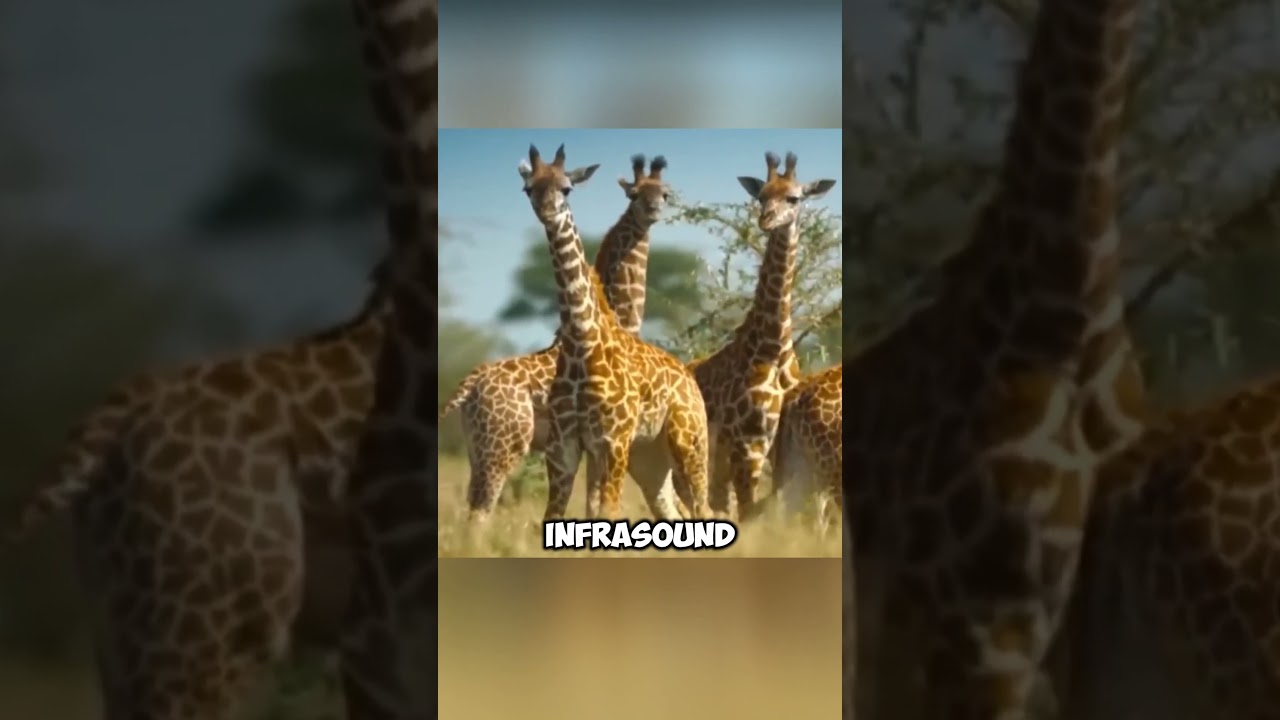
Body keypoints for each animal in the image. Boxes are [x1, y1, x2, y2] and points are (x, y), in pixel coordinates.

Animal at [439, 155, 685, 522]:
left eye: (665, 193)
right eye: (635, 195)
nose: (654, 210)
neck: (620, 318)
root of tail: (470, 386)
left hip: (477, 446)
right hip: (502, 445)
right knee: (482, 510)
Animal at [517, 144, 710, 521]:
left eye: (567, 188)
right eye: (529, 188)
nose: (547, 212)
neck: (581, 341)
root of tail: (690, 378)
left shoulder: (613, 442)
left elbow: (607, 510)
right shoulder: (564, 449)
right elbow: (559, 515)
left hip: (689, 442)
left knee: (706, 508)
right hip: (650, 461)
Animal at [689, 151, 835, 520]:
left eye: (794, 198)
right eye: (761, 196)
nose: (765, 220)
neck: (773, 346)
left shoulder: (772, 446)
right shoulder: (749, 444)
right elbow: (750, 511)